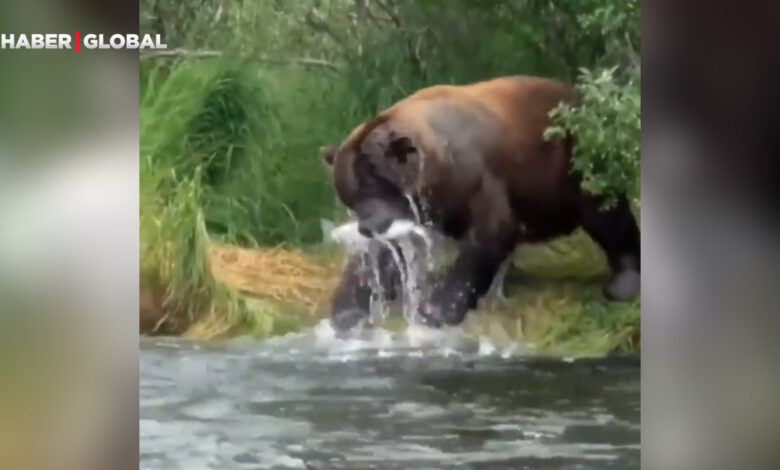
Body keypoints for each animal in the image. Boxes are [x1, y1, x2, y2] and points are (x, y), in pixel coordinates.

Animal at [320, 75, 636, 330]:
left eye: (375, 184)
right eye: (349, 195)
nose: (368, 226)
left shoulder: (479, 181)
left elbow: (490, 234)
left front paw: (437, 309)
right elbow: (381, 256)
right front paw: (347, 311)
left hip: (572, 158)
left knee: (606, 213)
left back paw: (622, 283)